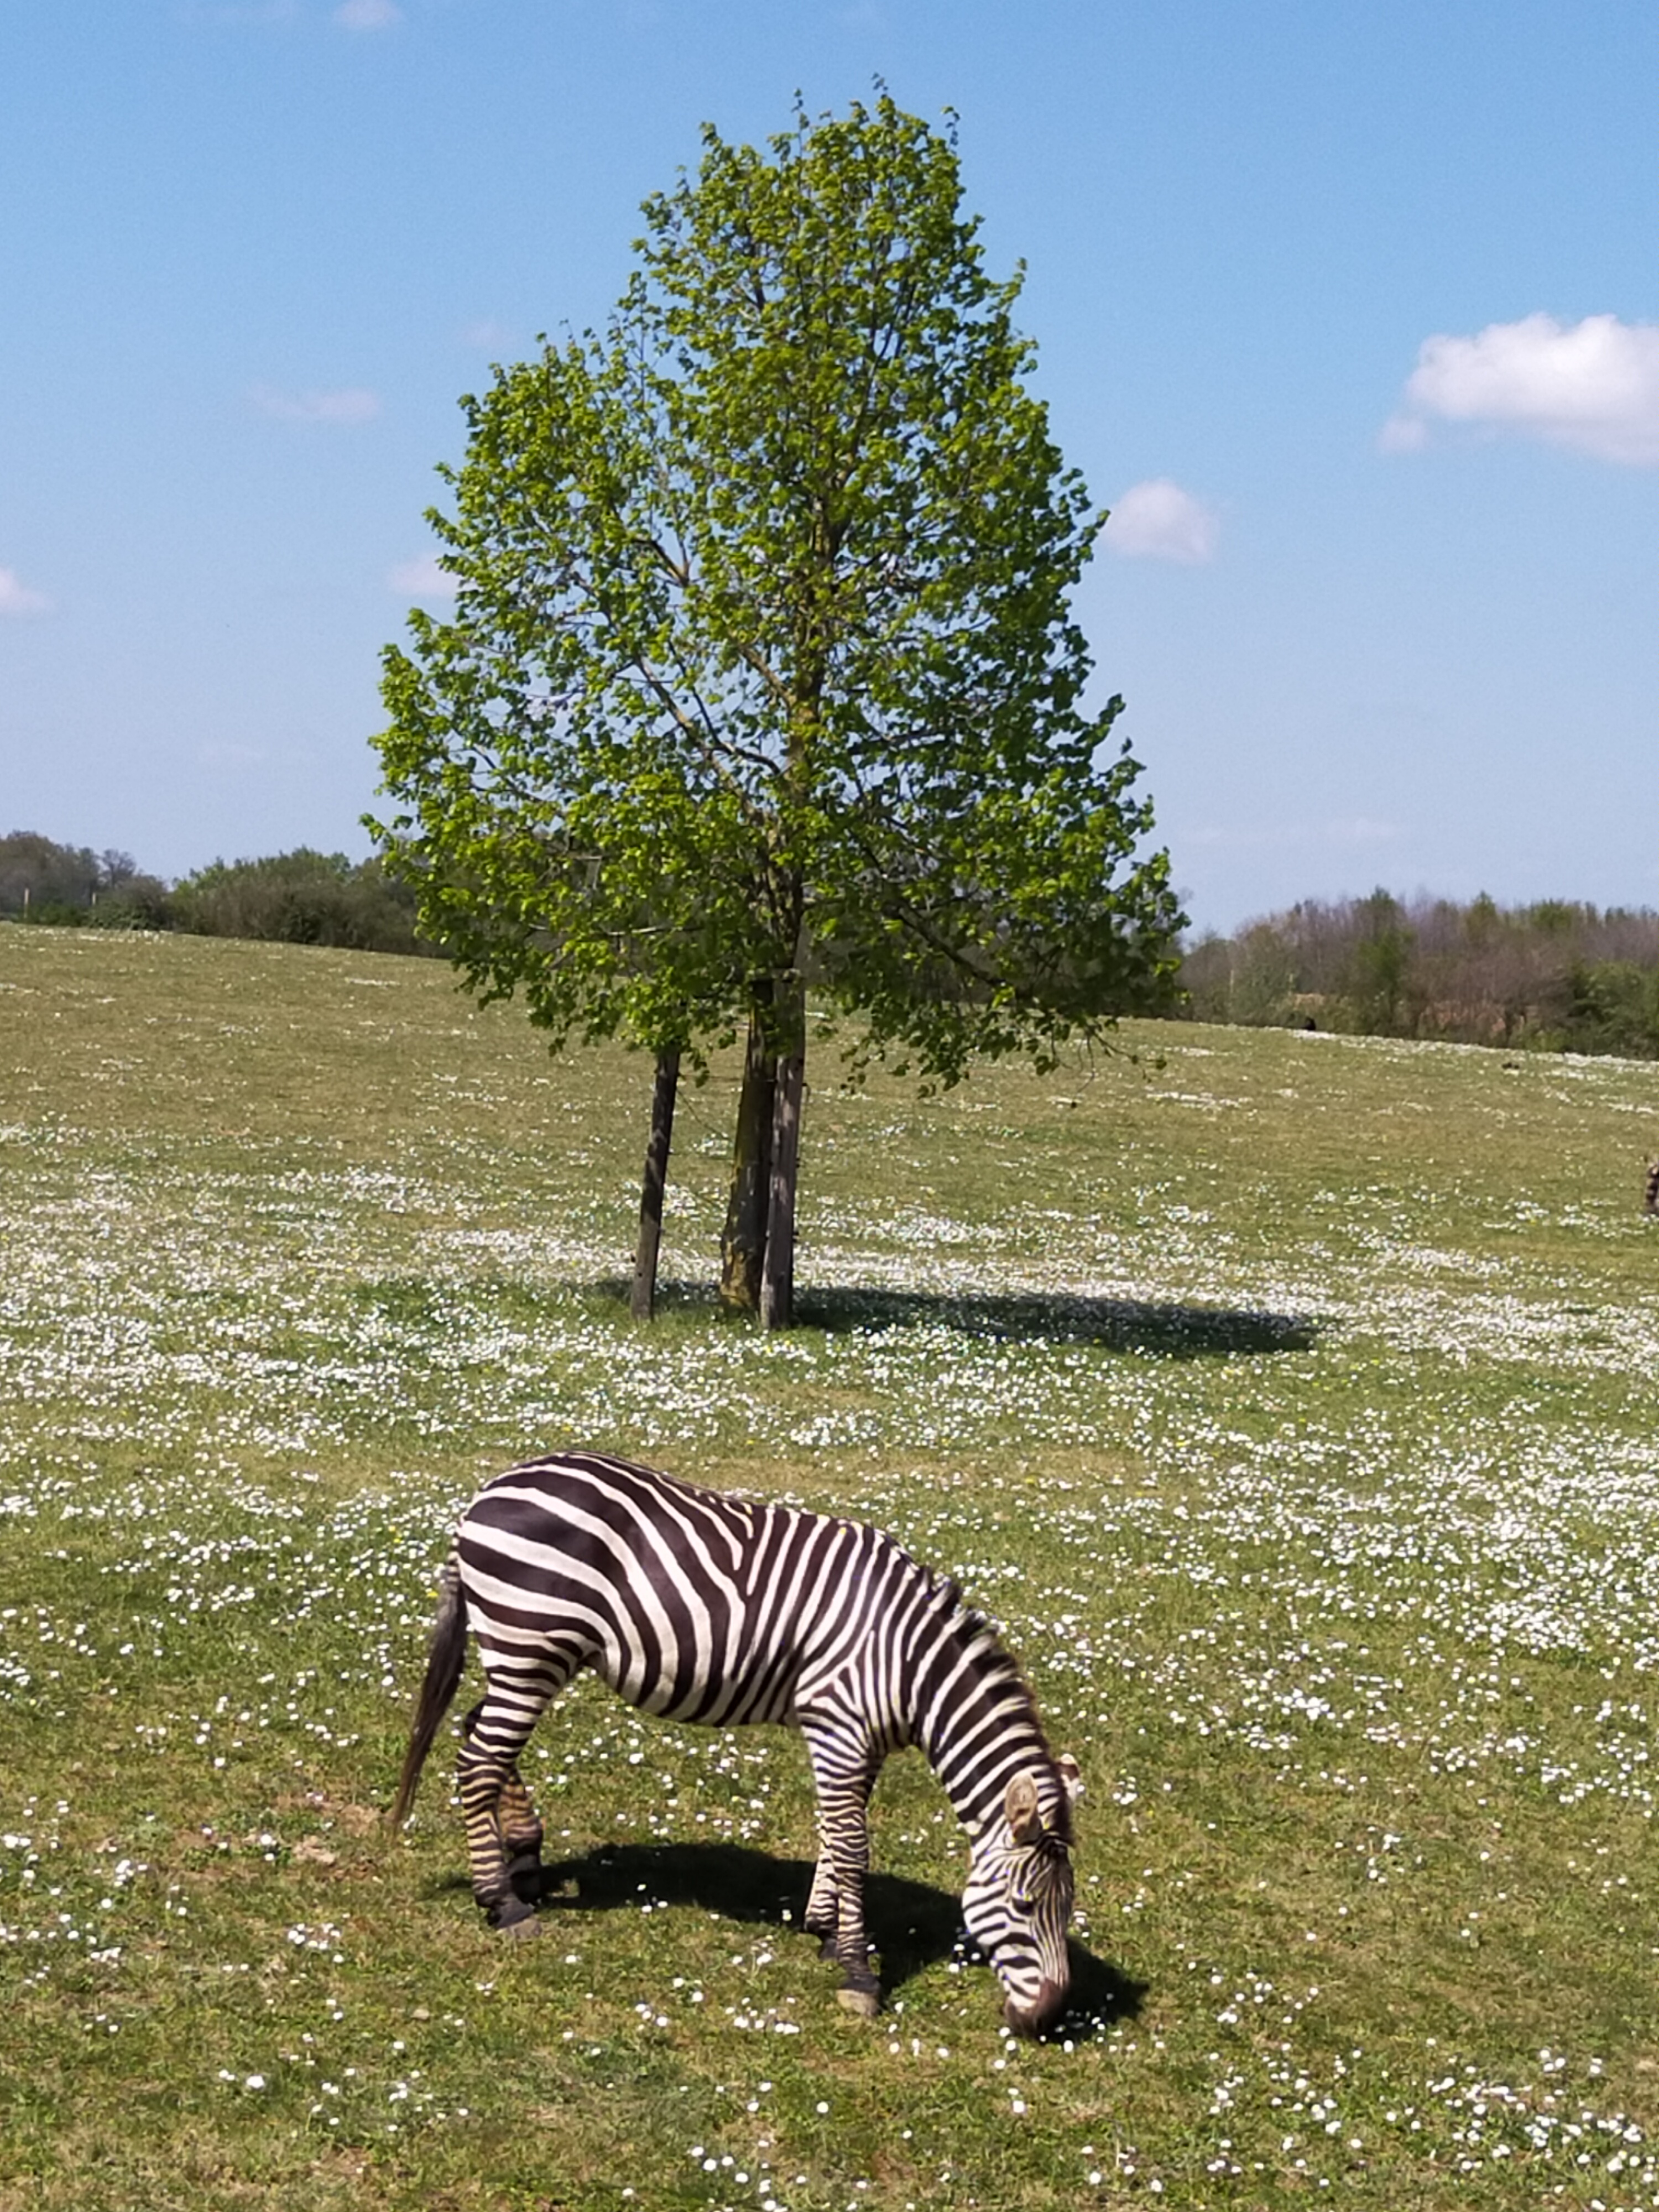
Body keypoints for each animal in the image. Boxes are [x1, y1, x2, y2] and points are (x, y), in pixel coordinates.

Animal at [392, 1450, 1083, 2035]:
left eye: (1068, 1907)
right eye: (1025, 1905)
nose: (1046, 2020)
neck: (906, 1659)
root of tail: (487, 1493)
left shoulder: (859, 1742)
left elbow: (834, 1835)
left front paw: (824, 1929)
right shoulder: (838, 1726)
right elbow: (852, 1845)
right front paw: (857, 1971)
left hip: (528, 1655)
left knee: (479, 1734)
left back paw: (526, 1856)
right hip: (530, 1643)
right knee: (479, 1759)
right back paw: (503, 1902)